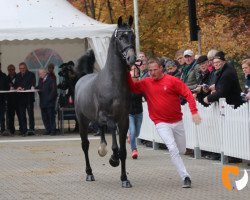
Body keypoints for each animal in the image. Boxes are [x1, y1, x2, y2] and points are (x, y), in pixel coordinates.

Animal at [74, 16, 136, 188]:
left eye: (133, 36)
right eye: (120, 37)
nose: (132, 58)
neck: (113, 83)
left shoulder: (124, 119)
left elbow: (123, 151)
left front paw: (124, 179)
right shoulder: (106, 116)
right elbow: (113, 130)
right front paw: (113, 158)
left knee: (100, 131)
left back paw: (102, 148)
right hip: (82, 121)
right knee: (85, 145)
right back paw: (89, 173)